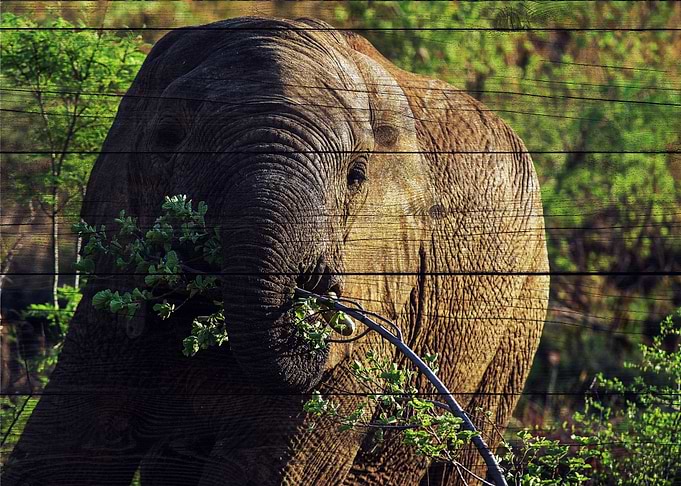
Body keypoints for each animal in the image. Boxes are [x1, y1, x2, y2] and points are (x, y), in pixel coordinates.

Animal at [3, 17, 549, 486]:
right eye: (167, 138)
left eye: (356, 175)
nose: (322, 284)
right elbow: (66, 449)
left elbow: (265, 465)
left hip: (519, 321)